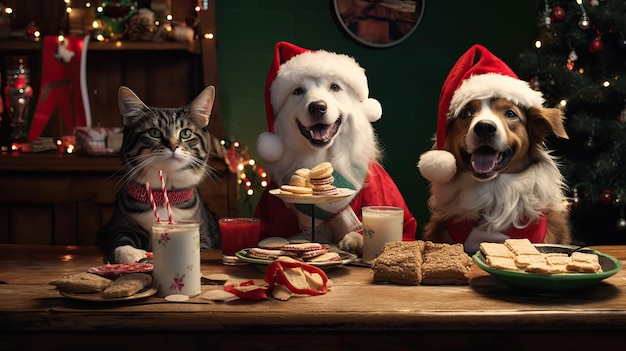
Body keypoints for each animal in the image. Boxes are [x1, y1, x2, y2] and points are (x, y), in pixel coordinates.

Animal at [99, 86, 219, 264]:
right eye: (154, 132)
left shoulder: (203, 236)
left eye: (186, 133)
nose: (173, 146)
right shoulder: (119, 224)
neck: (163, 197)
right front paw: (130, 253)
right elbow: (121, 237)